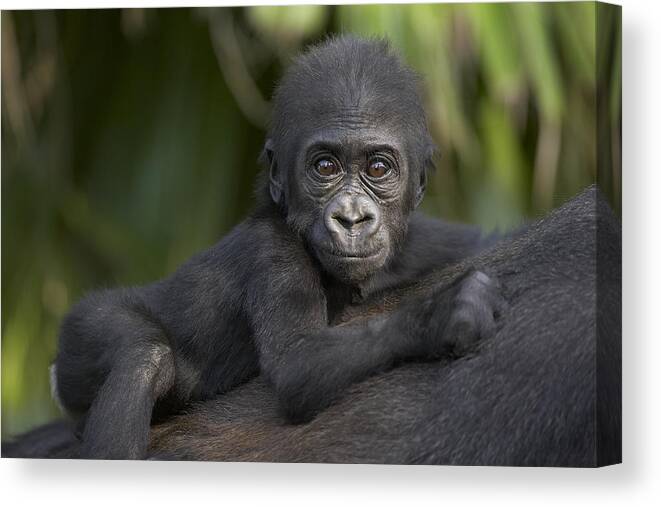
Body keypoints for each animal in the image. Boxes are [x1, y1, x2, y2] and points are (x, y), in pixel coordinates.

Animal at [52, 34, 506, 456]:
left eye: (378, 168)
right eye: (325, 166)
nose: (351, 217)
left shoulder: (419, 241)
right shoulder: (273, 253)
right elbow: (296, 363)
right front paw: (443, 313)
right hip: (80, 333)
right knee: (142, 355)